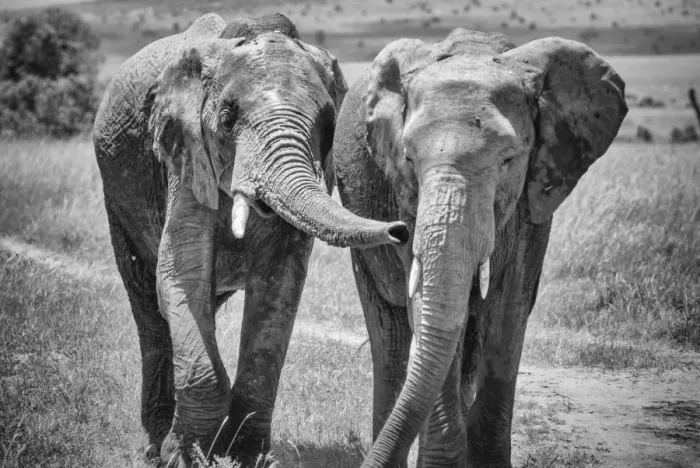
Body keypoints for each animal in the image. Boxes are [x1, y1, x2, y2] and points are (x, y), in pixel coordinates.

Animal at [92, 13, 409, 467]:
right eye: (227, 118)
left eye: (329, 127)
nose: (400, 230)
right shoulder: (185, 152)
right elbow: (180, 273)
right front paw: (184, 456)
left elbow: (278, 288)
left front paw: (247, 457)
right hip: (116, 197)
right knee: (148, 304)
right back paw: (155, 445)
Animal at [333, 28, 627, 467]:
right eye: (408, 158)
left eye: (508, 159)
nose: (395, 232)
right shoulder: (404, 197)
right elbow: (426, 308)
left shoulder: (534, 197)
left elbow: (509, 309)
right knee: (390, 335)